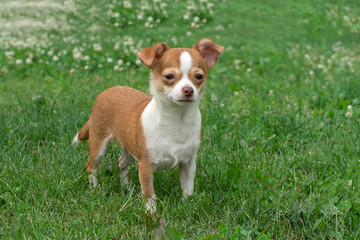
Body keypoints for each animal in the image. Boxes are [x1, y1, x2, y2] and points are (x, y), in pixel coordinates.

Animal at [72, 38, 224, 213]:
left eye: (199, 76)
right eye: (169, 76)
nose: (188, 90)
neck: (177, 120)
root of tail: (108, 90)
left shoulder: (188, 164)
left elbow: (187, 189)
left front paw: (188, 207)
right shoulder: (145, 166)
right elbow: (149, 193)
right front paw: (151, 213)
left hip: (130, 150)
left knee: (120, 163)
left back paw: (126, 187)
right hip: (99, 145)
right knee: (91, 166)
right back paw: (95, 189)